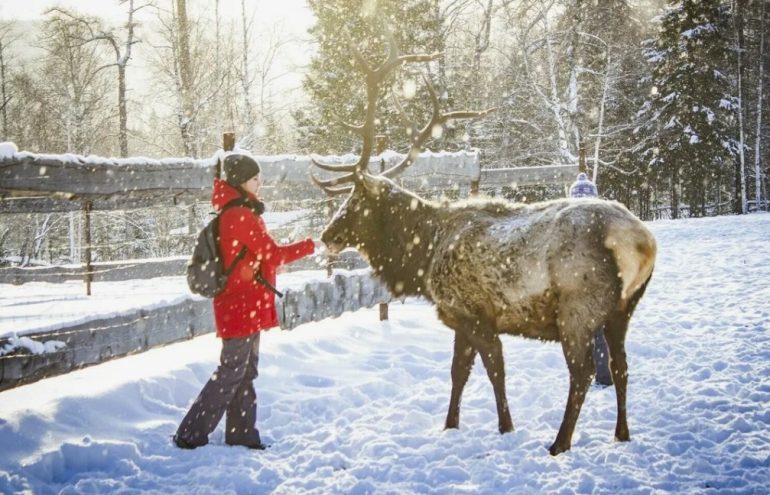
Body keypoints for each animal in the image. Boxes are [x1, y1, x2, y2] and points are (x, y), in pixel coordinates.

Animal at [312, 34, 656, 458]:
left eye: (355, 201)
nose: (327, 236)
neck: (423, 257)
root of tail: (642, 242)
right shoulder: (460, 317)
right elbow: (458, 373)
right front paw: (449, 425)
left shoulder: (474, 312)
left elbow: (495, 370)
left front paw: (506, 427)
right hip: (623, 309)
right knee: (621, 367)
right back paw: (621, 433)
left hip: (578, 306)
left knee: (583, 372)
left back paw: (559, 442)